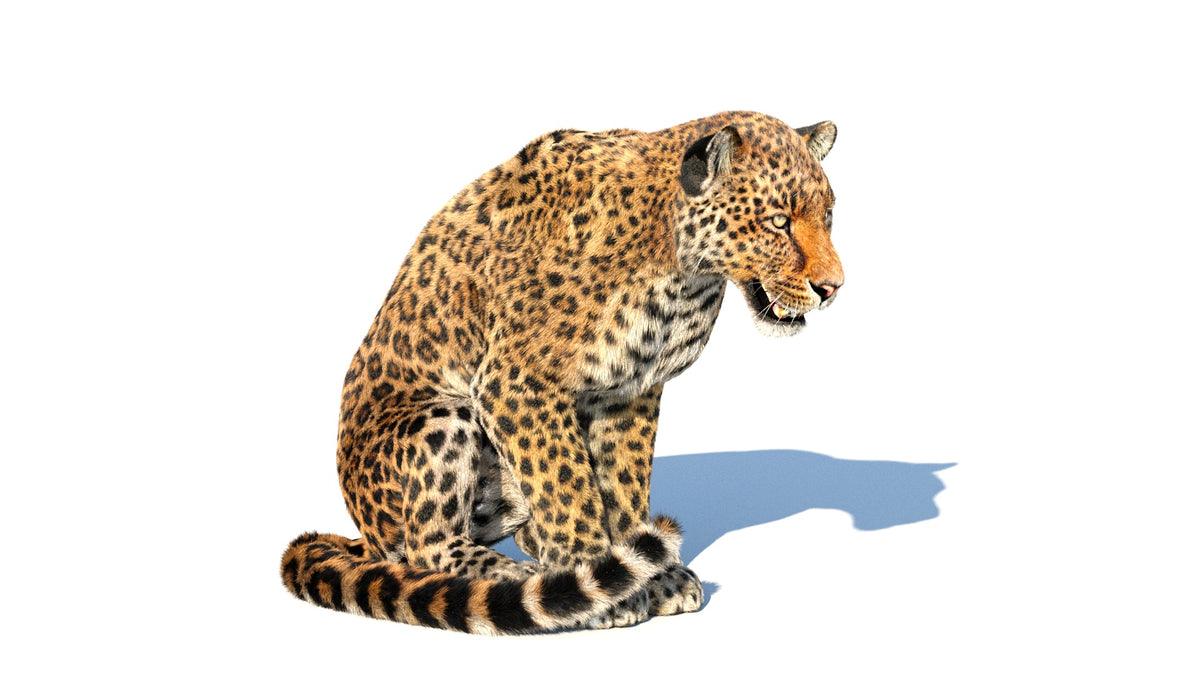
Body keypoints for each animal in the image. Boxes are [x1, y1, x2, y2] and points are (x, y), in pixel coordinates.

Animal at [280, 111, 844, 635]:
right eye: (778, 221)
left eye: (829, 217)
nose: (833, 287)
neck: (681, 270)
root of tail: (362, 529)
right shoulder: (517, 384)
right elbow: (566, 486)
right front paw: (601, 584)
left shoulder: (630, 391)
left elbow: (623, 487)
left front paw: (649, 574)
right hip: (442, 415)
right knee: (424, 547)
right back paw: (516, 577)